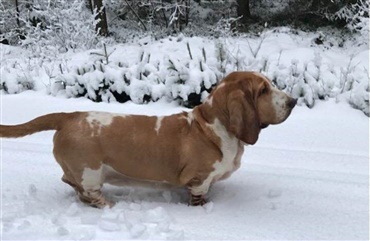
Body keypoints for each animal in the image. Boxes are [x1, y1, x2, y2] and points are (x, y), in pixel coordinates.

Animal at [0, 71, 294, 207]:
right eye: (263, 90)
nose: (293, 101)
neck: (212, 125)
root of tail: (69, 116)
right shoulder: (199, 180)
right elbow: (199, 196)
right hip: (90, 172)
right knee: (88, 192)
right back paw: (109, 205)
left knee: (69, 182)